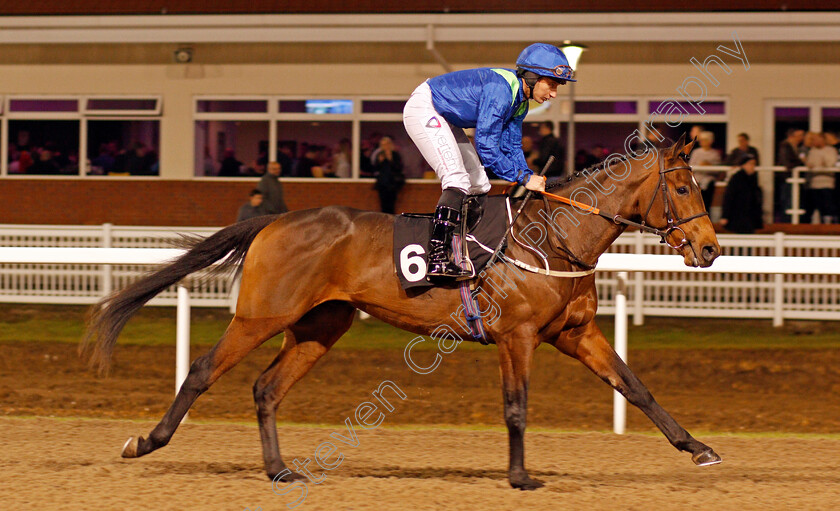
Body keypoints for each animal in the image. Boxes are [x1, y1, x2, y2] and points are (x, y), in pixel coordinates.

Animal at [88, 134, 724, 490]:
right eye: (685, 189)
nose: (711, 249)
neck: (555, 237)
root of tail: (273, 218)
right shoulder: (516, 337)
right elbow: (516, 407)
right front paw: (520, 476)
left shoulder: (576, 333)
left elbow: (636, 388)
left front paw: (698, 449)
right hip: (260, 317)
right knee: (202, 371)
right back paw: (146, 442)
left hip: (322, 324)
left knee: (267, 388)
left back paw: (279, 469)